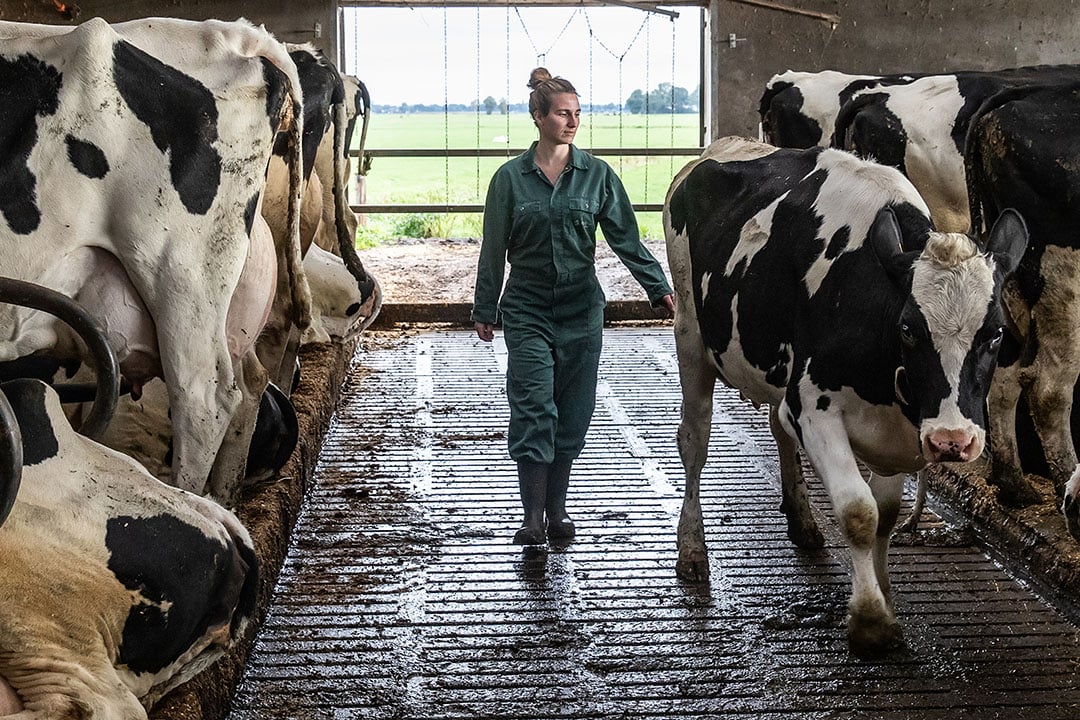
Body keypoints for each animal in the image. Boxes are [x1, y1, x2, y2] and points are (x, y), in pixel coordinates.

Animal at [665, 136, 1028, 660]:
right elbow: (860, 512)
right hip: (691, 334)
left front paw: (885, 594)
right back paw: (692, 548)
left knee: (777, 429)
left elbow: (887, 517)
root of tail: (723, 145)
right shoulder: (813, 407)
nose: (952, 441)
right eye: (908, 329)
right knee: (694, 439)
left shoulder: (894, 431)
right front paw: (871, 621)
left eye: (995, 333)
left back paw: (802, 521)